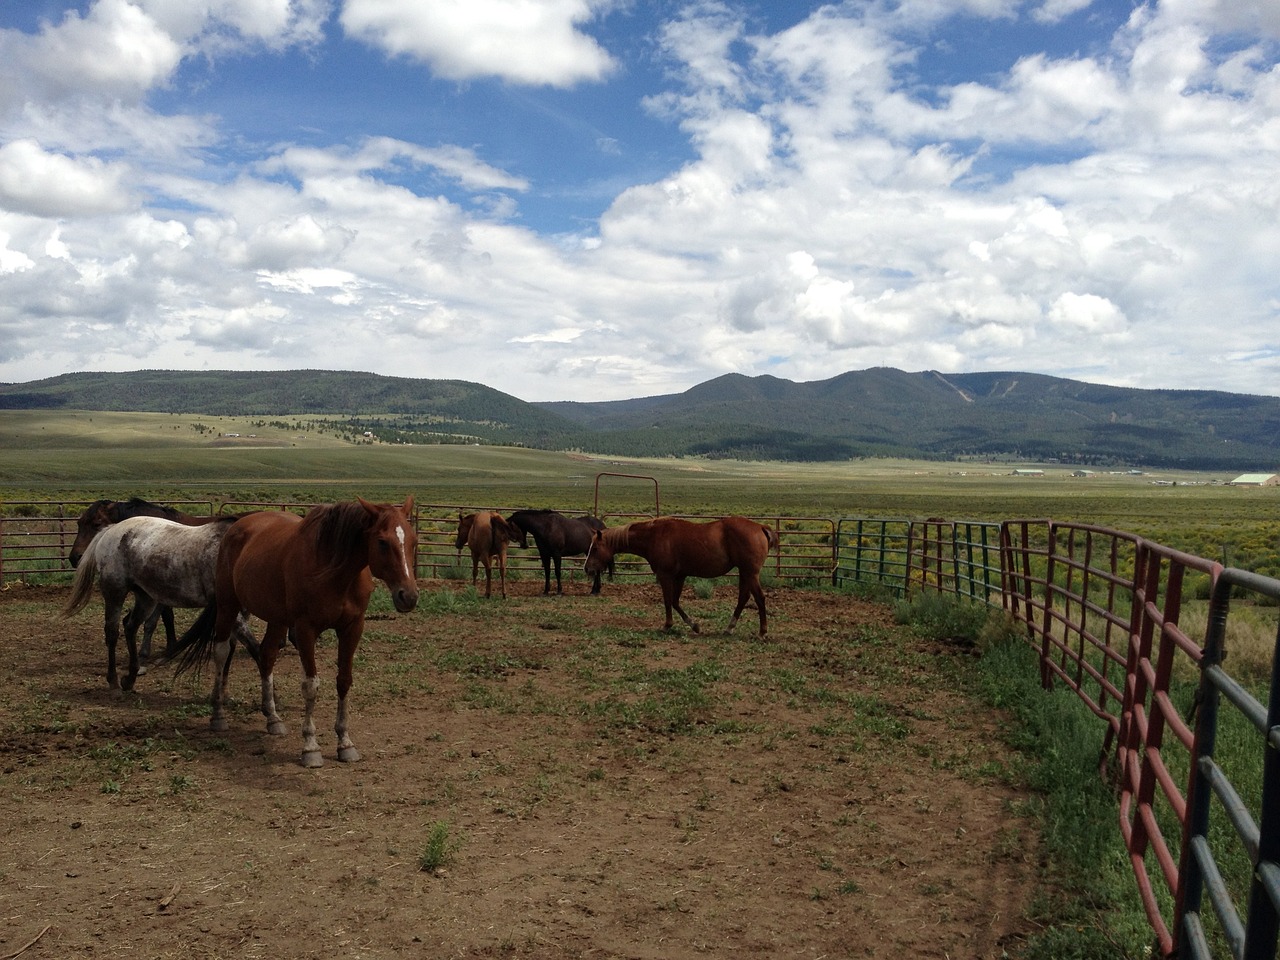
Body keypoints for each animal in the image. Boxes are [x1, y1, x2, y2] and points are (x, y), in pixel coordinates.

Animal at [61, 514, 245, 696]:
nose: (74, 557)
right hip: (115, 592)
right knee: (112, 633)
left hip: (146, 598)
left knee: (130, 627)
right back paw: (114, 682)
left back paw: (130, 678)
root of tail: (110, 530)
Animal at [172, 499, 414, 773]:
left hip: (276, 618)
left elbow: (344, 681)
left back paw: (273, 718)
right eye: (382, 542)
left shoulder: (352, 627)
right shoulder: (305, 629)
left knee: (266, 656)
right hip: (227, 605)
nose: (409, 596)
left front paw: (345, 742)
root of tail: (236, 526)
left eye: (414, 541)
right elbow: (311, 686)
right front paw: (310, 747)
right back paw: (218, 714)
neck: (335, 571)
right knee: (221, 652)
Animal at [586, 519, 773, 640]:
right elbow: (675, 602)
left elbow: (668, 601)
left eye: (594, 548)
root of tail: (760, 527)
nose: (587, 568)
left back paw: (762, 632)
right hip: (745, 573)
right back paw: (729, 628)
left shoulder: (665, 575)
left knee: (759, 598)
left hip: (750, 573)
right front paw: (694, 625)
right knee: (743, 598)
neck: (654, 536)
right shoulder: (679, 576)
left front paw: (667, 625)